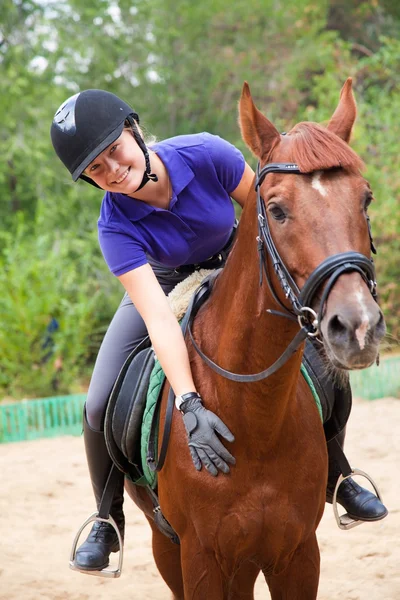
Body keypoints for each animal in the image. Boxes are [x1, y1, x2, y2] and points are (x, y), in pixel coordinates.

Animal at [126, 79, 386, 600]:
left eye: (364, 199)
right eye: (278, 210)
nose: (358, 327)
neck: (254, 417)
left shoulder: (298, 554)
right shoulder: (200, 560)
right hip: (168, 547)